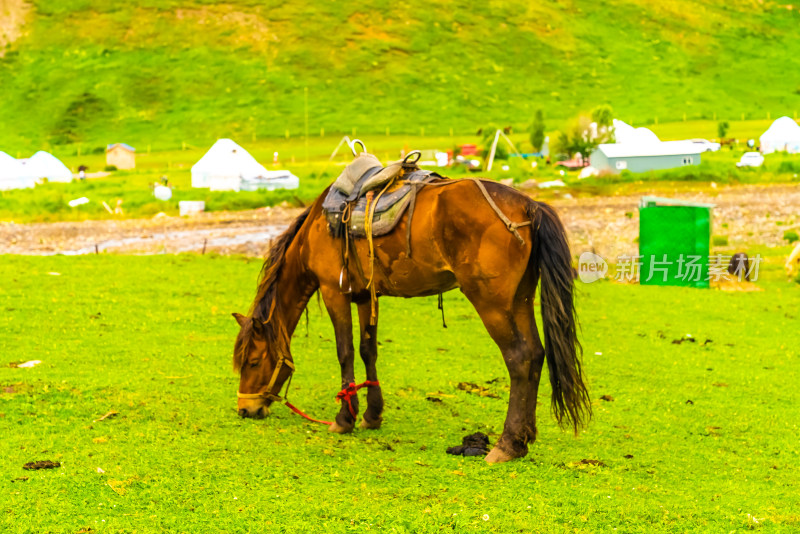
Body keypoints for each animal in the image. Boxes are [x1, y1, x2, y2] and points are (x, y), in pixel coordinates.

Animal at [231, 178, 588, 462]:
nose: (245, 410)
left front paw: (344, 419)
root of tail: (529, 206)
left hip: (493, 304)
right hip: (520, 301)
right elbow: (368, 351)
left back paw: (507, 445)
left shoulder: (335, 292)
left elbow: (345, 352)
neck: (317, 229)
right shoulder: (366, 295)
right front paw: (372, 415)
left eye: (253, 361)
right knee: (536, 355)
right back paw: (524, 438)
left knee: (520, 358)